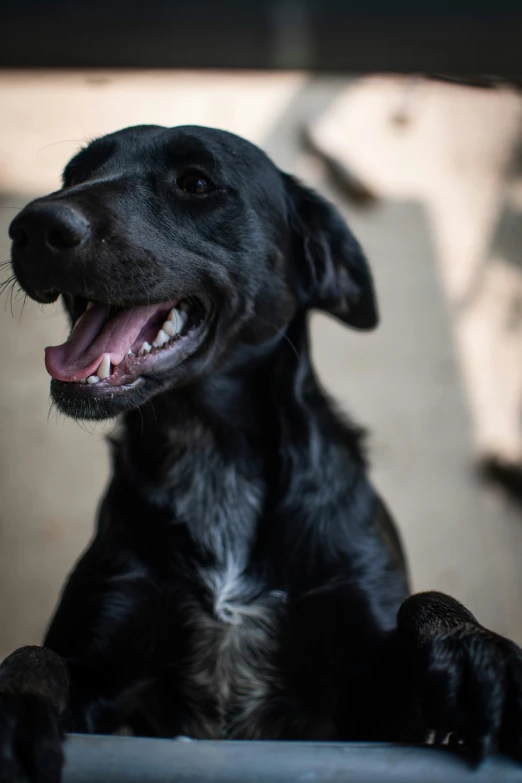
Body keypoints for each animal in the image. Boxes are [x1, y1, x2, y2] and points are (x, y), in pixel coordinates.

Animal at [3, 125, 520, 780]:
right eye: (74, 175)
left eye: (196, 182)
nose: (30, 226)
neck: (212, 454)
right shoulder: (101, 660)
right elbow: (34, 655)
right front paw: (15, 702)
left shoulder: (373, 719)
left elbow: (427, 602)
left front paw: (475, 651)